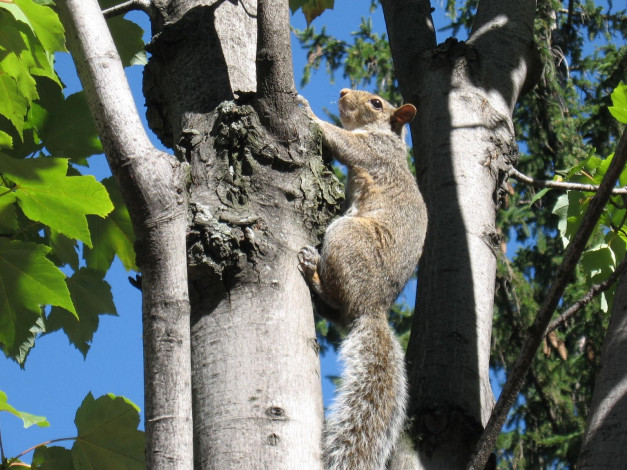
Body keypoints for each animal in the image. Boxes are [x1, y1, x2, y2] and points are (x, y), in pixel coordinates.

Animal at [298, 89, 426, 470]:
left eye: (376, 103)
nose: (342, 92)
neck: (390, 138)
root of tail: (372, 307)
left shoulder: (374, 152)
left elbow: (343, 141)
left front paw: (307, 110)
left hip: (347, 236)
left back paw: (312, 271)